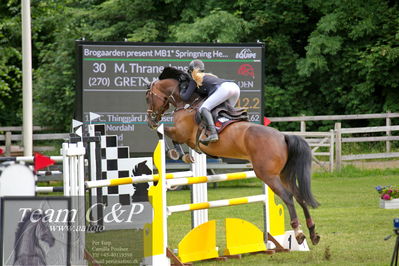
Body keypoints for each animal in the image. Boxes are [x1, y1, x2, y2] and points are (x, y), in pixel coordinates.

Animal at [146, 72, 322, 245]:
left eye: (148, 97)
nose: (150, 120)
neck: (187, 104)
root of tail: (283, 137)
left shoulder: (181, 133)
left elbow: (166, 133)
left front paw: (177, 154)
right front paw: (185, 155)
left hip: (267, 175)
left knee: (288, 197)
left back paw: (299, 233)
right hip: (283, 174)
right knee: (299, 196)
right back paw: (313, 233)